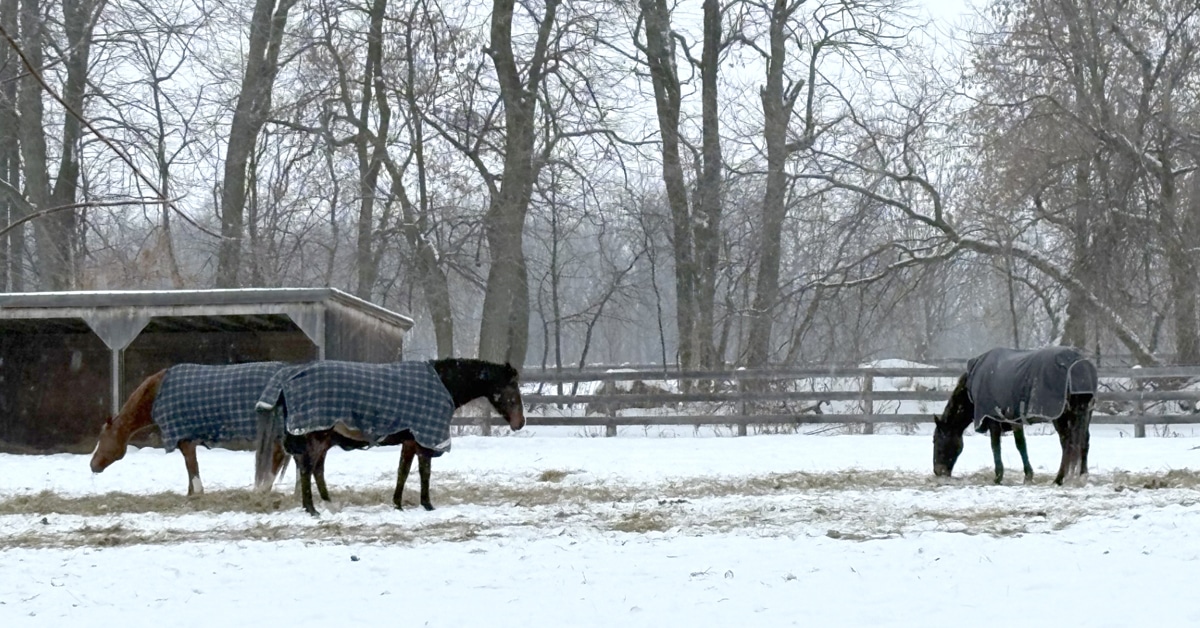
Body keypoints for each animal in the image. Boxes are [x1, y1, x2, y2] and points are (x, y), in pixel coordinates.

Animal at [90, 363, 292, 495]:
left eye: (102, 439)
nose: (93, 465)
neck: (156, 394)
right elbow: (190, 466)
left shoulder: (183, 436)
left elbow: (191, 464)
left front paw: (197, 492)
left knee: (278, 456)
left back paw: (263, 488)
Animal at [255, 358, 525, 516]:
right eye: (512, 390)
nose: (520, 423)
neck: (442, 382)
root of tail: (290, 377)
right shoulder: (423, 439)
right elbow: (424, 472)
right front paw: (427, 504)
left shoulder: (410, 441)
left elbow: (403, 472)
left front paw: (398, 503)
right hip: (318, 436)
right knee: (307, 468)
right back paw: (311, 508)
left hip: (322, 438)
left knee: (315, 469)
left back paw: (326, 502)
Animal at [933, 346, 1096, 486]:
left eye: (935, 440)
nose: (937, 471)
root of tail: (1079, 365)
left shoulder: (997, 419)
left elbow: (1005, 445)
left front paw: (1004, 476)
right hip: (1085, 414)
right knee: (1084, 441)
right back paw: (1082, 476)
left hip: (1060, 417)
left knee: (1067, 443)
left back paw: (1059, 479)